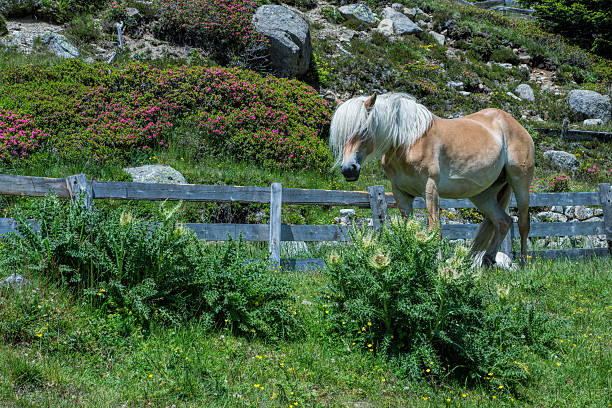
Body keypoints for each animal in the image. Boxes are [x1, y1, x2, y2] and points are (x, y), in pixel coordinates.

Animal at [330, 91, 536, 264]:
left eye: (364, 130)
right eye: (341, 136)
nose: (349, 169)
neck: (408, 141)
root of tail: (513, 123)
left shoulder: (430, 190)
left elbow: (434, 229)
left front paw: (435, 263)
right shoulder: (401, 194)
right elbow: (410, 229)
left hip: (520, 182)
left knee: (523, 223)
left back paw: (524, 264)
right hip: (483, 195)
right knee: (503, 222)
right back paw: (486, 261)